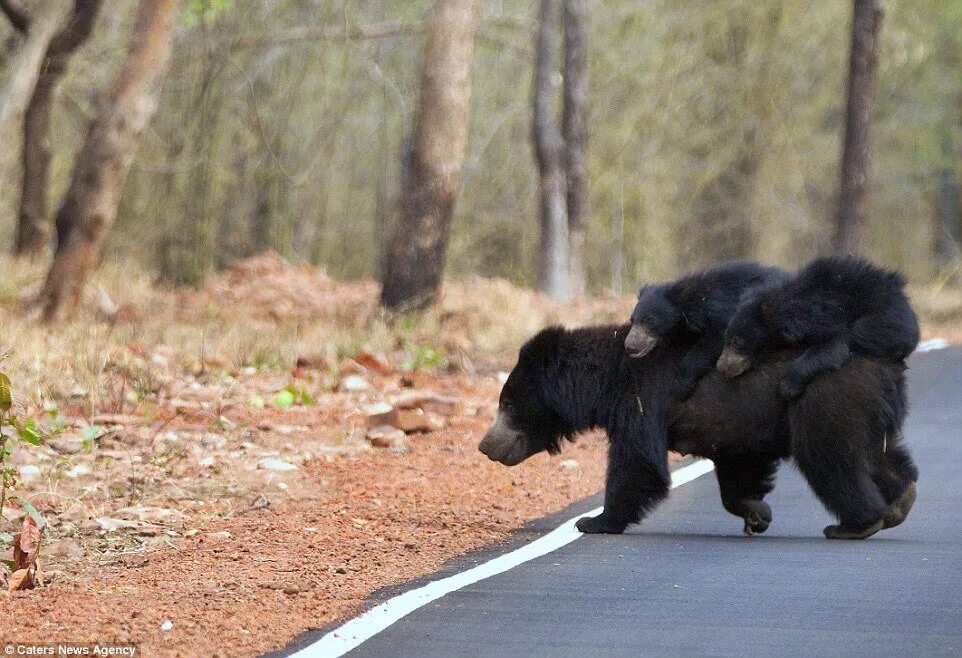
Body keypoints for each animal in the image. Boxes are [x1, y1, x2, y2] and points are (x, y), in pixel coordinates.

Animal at [480, 322, 916, 540]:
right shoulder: (735, 420)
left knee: (830, 459)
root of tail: (889, 366)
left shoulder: (642, 396)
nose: (485, 446)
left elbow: (637, 462)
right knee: (878, 456)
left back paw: (854, 524)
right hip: (869, 412)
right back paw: (900, 500)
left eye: (507, 405)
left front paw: (595, 521)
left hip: (826, 401)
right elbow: (739, 463)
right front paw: (756, 513)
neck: (603, 381)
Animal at [624, 260, 788, 394]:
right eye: (632, 320)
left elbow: (714, 338)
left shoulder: (723, 311)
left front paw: (680, 384)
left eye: (650, 320)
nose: (630, 346)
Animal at [716, 255, 920, 400]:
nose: (721, 367)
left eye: (737, 342)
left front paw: (787, 388)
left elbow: (834, 348)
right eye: (726, 338)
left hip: (886, 321)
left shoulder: (824, 321)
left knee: (863, 333)